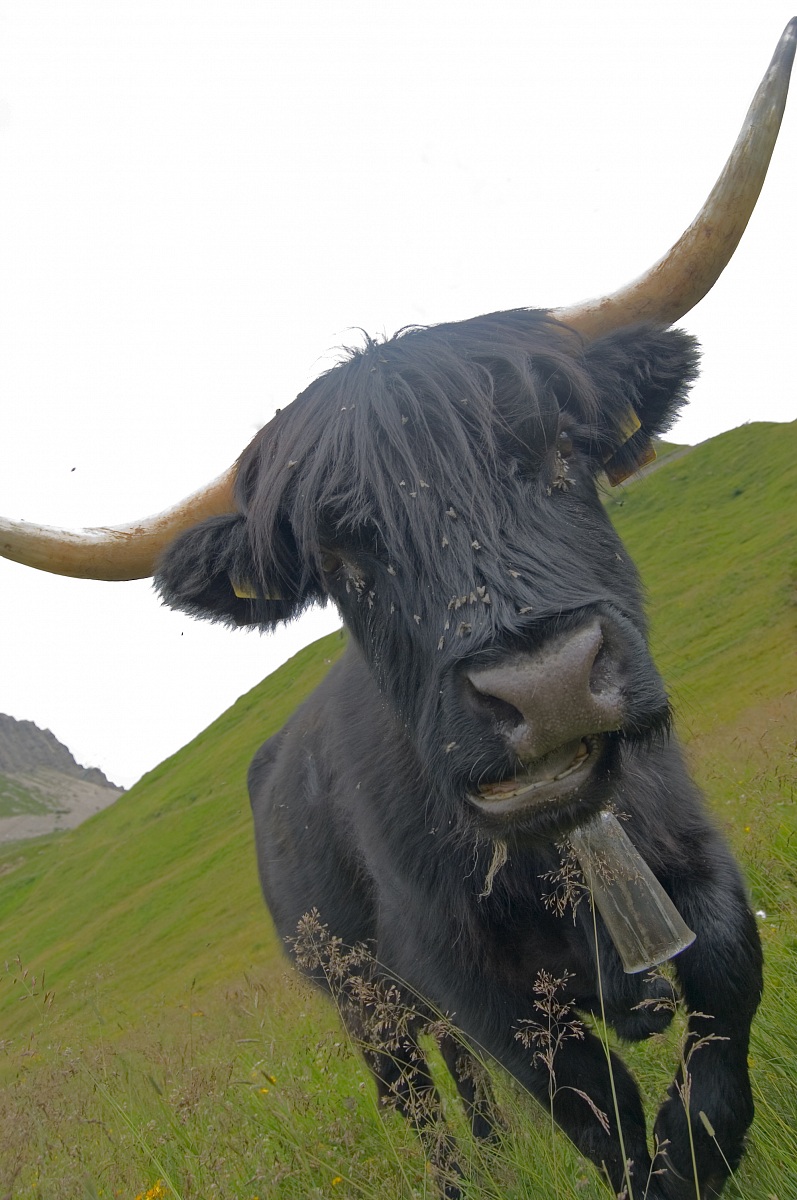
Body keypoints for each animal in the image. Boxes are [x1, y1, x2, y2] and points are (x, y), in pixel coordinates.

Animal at [2, 19, 795, 1200]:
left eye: (562, 451)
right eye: (343, 553)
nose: (546, 688)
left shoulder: (702, 881)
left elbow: (717, 1061)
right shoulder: (462, 972)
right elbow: (596, 1118)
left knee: (459, 1083)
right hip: (361, 1002)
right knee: (419, 1099)